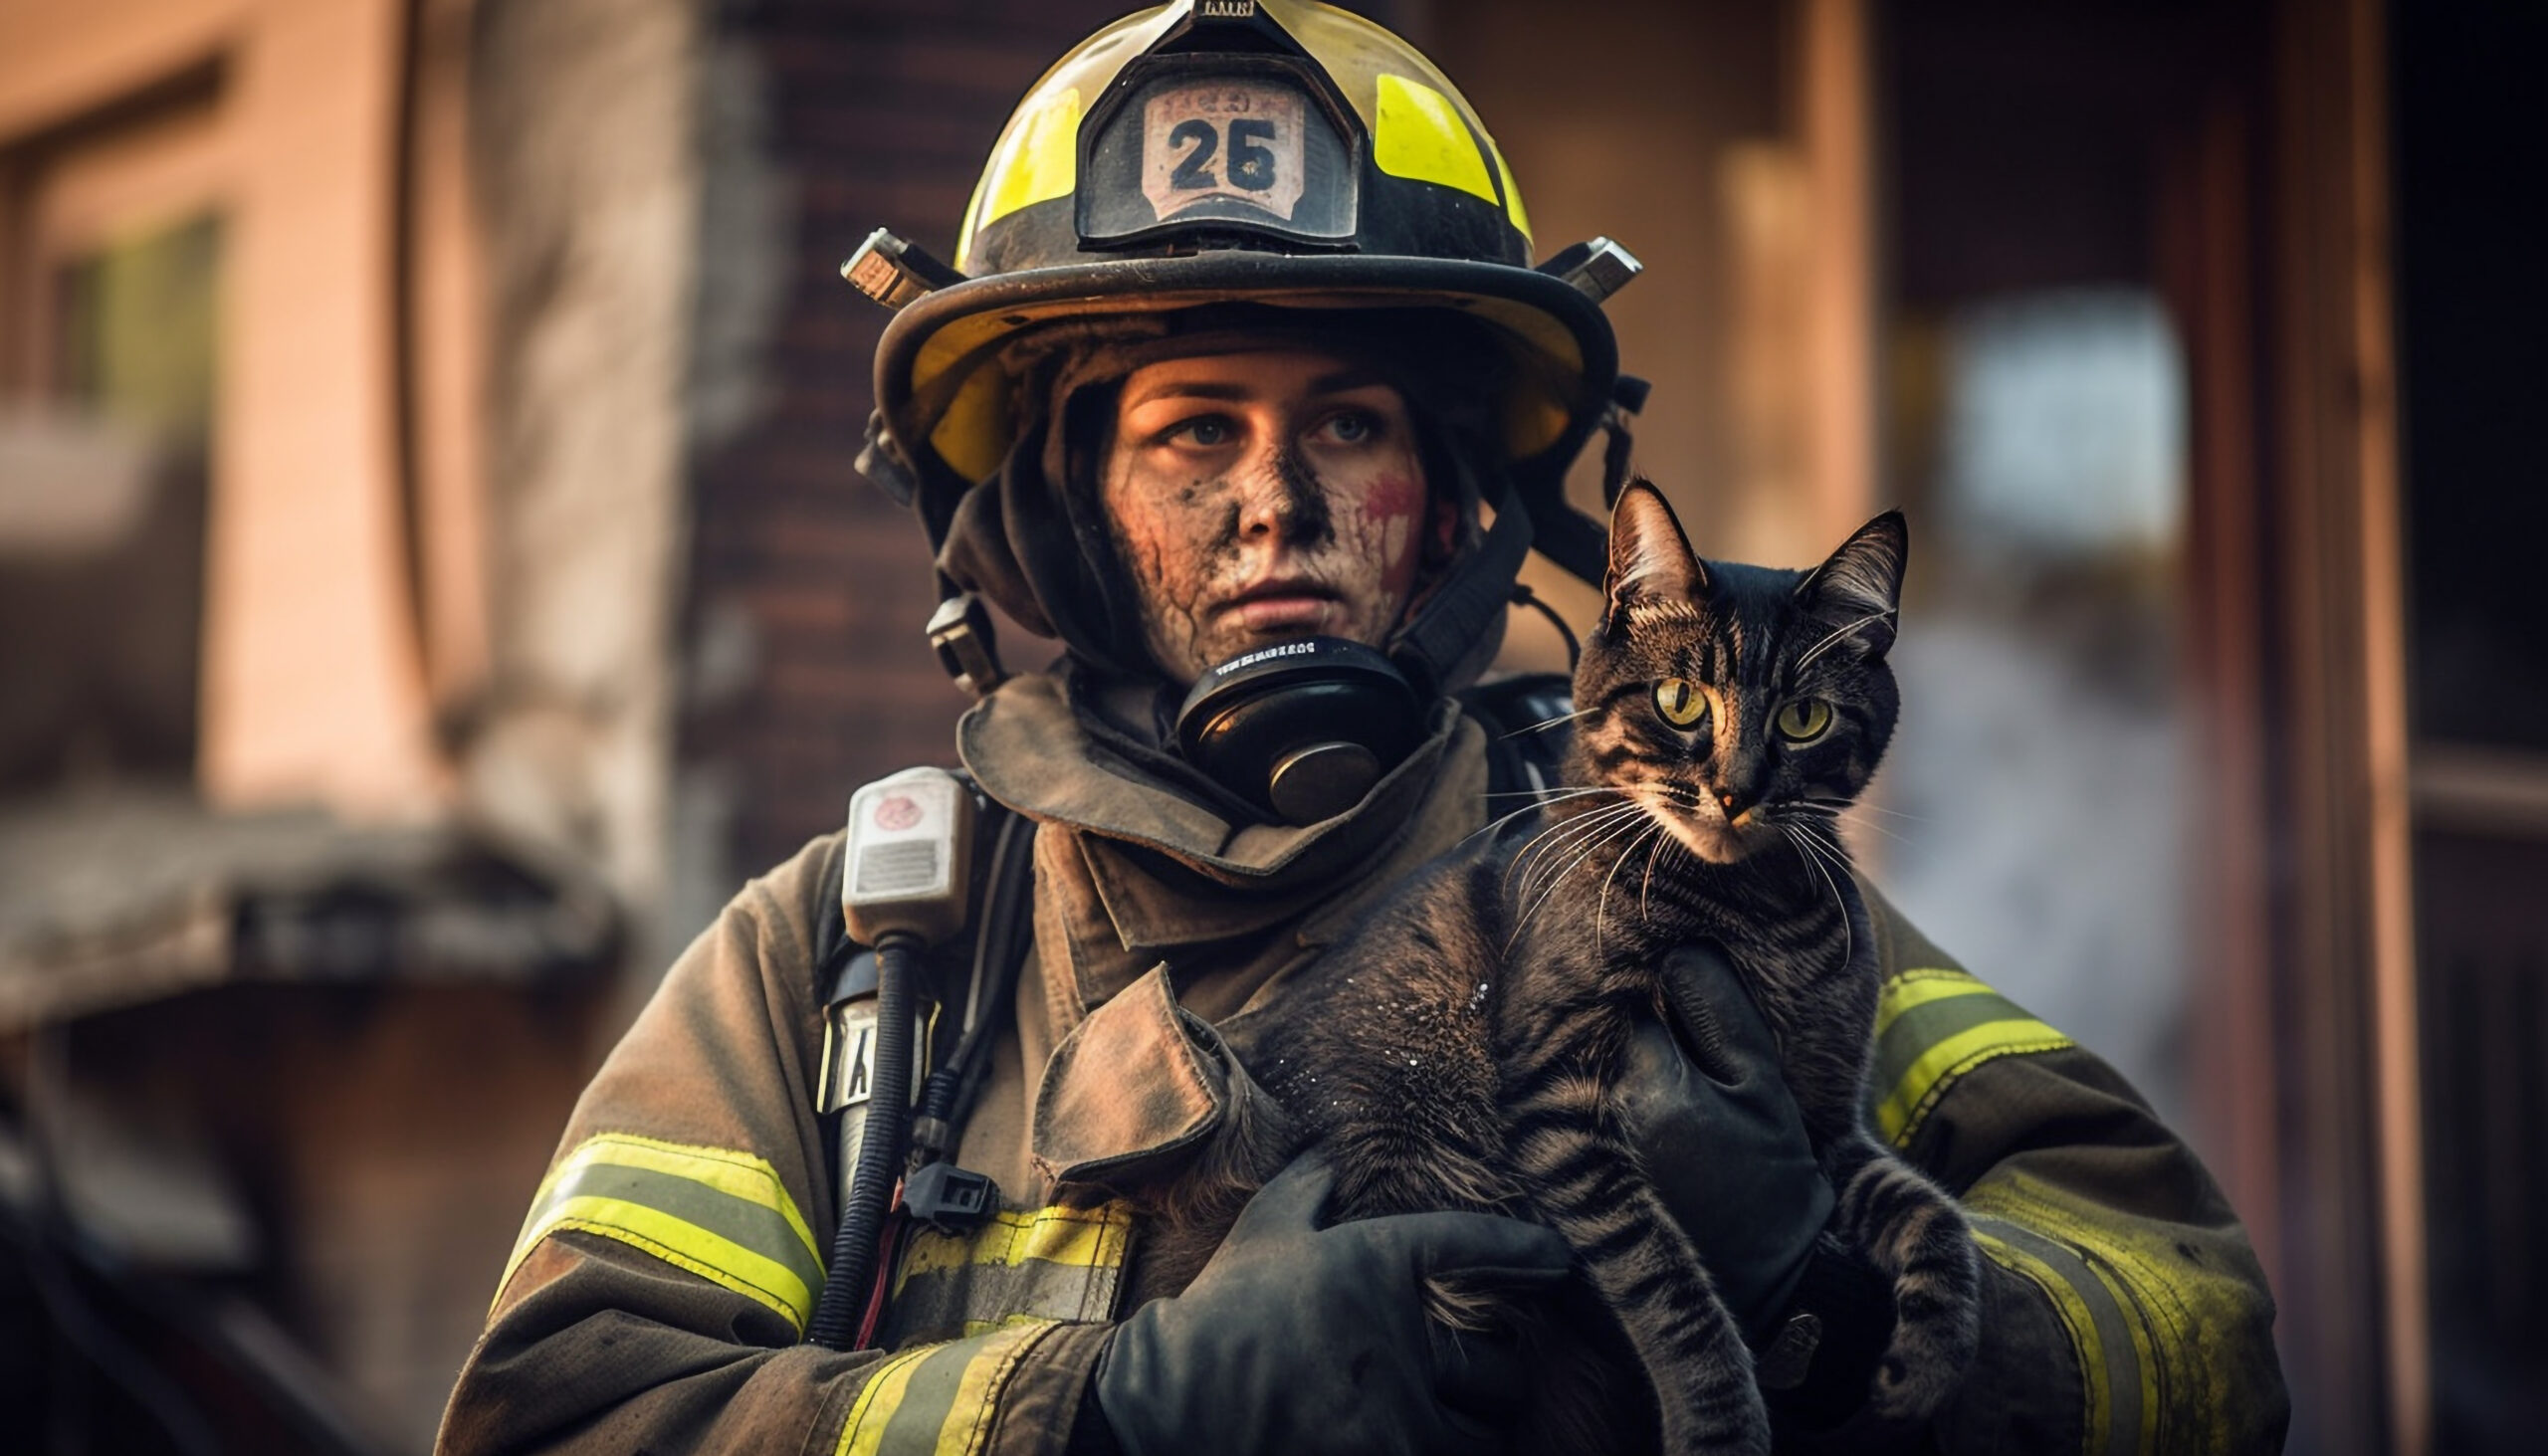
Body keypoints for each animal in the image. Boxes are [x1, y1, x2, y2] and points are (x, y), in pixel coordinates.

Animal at [1243, 484, 1977, 1448]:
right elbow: (1666, 1283)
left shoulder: (1822, 1129)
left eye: (1805, 718)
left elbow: (1932, 1213)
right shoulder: (1558, 1096)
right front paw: (1718, 1423)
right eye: (1679, 701)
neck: (1751, 920)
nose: (1736, 790)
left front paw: (1928, 1367)